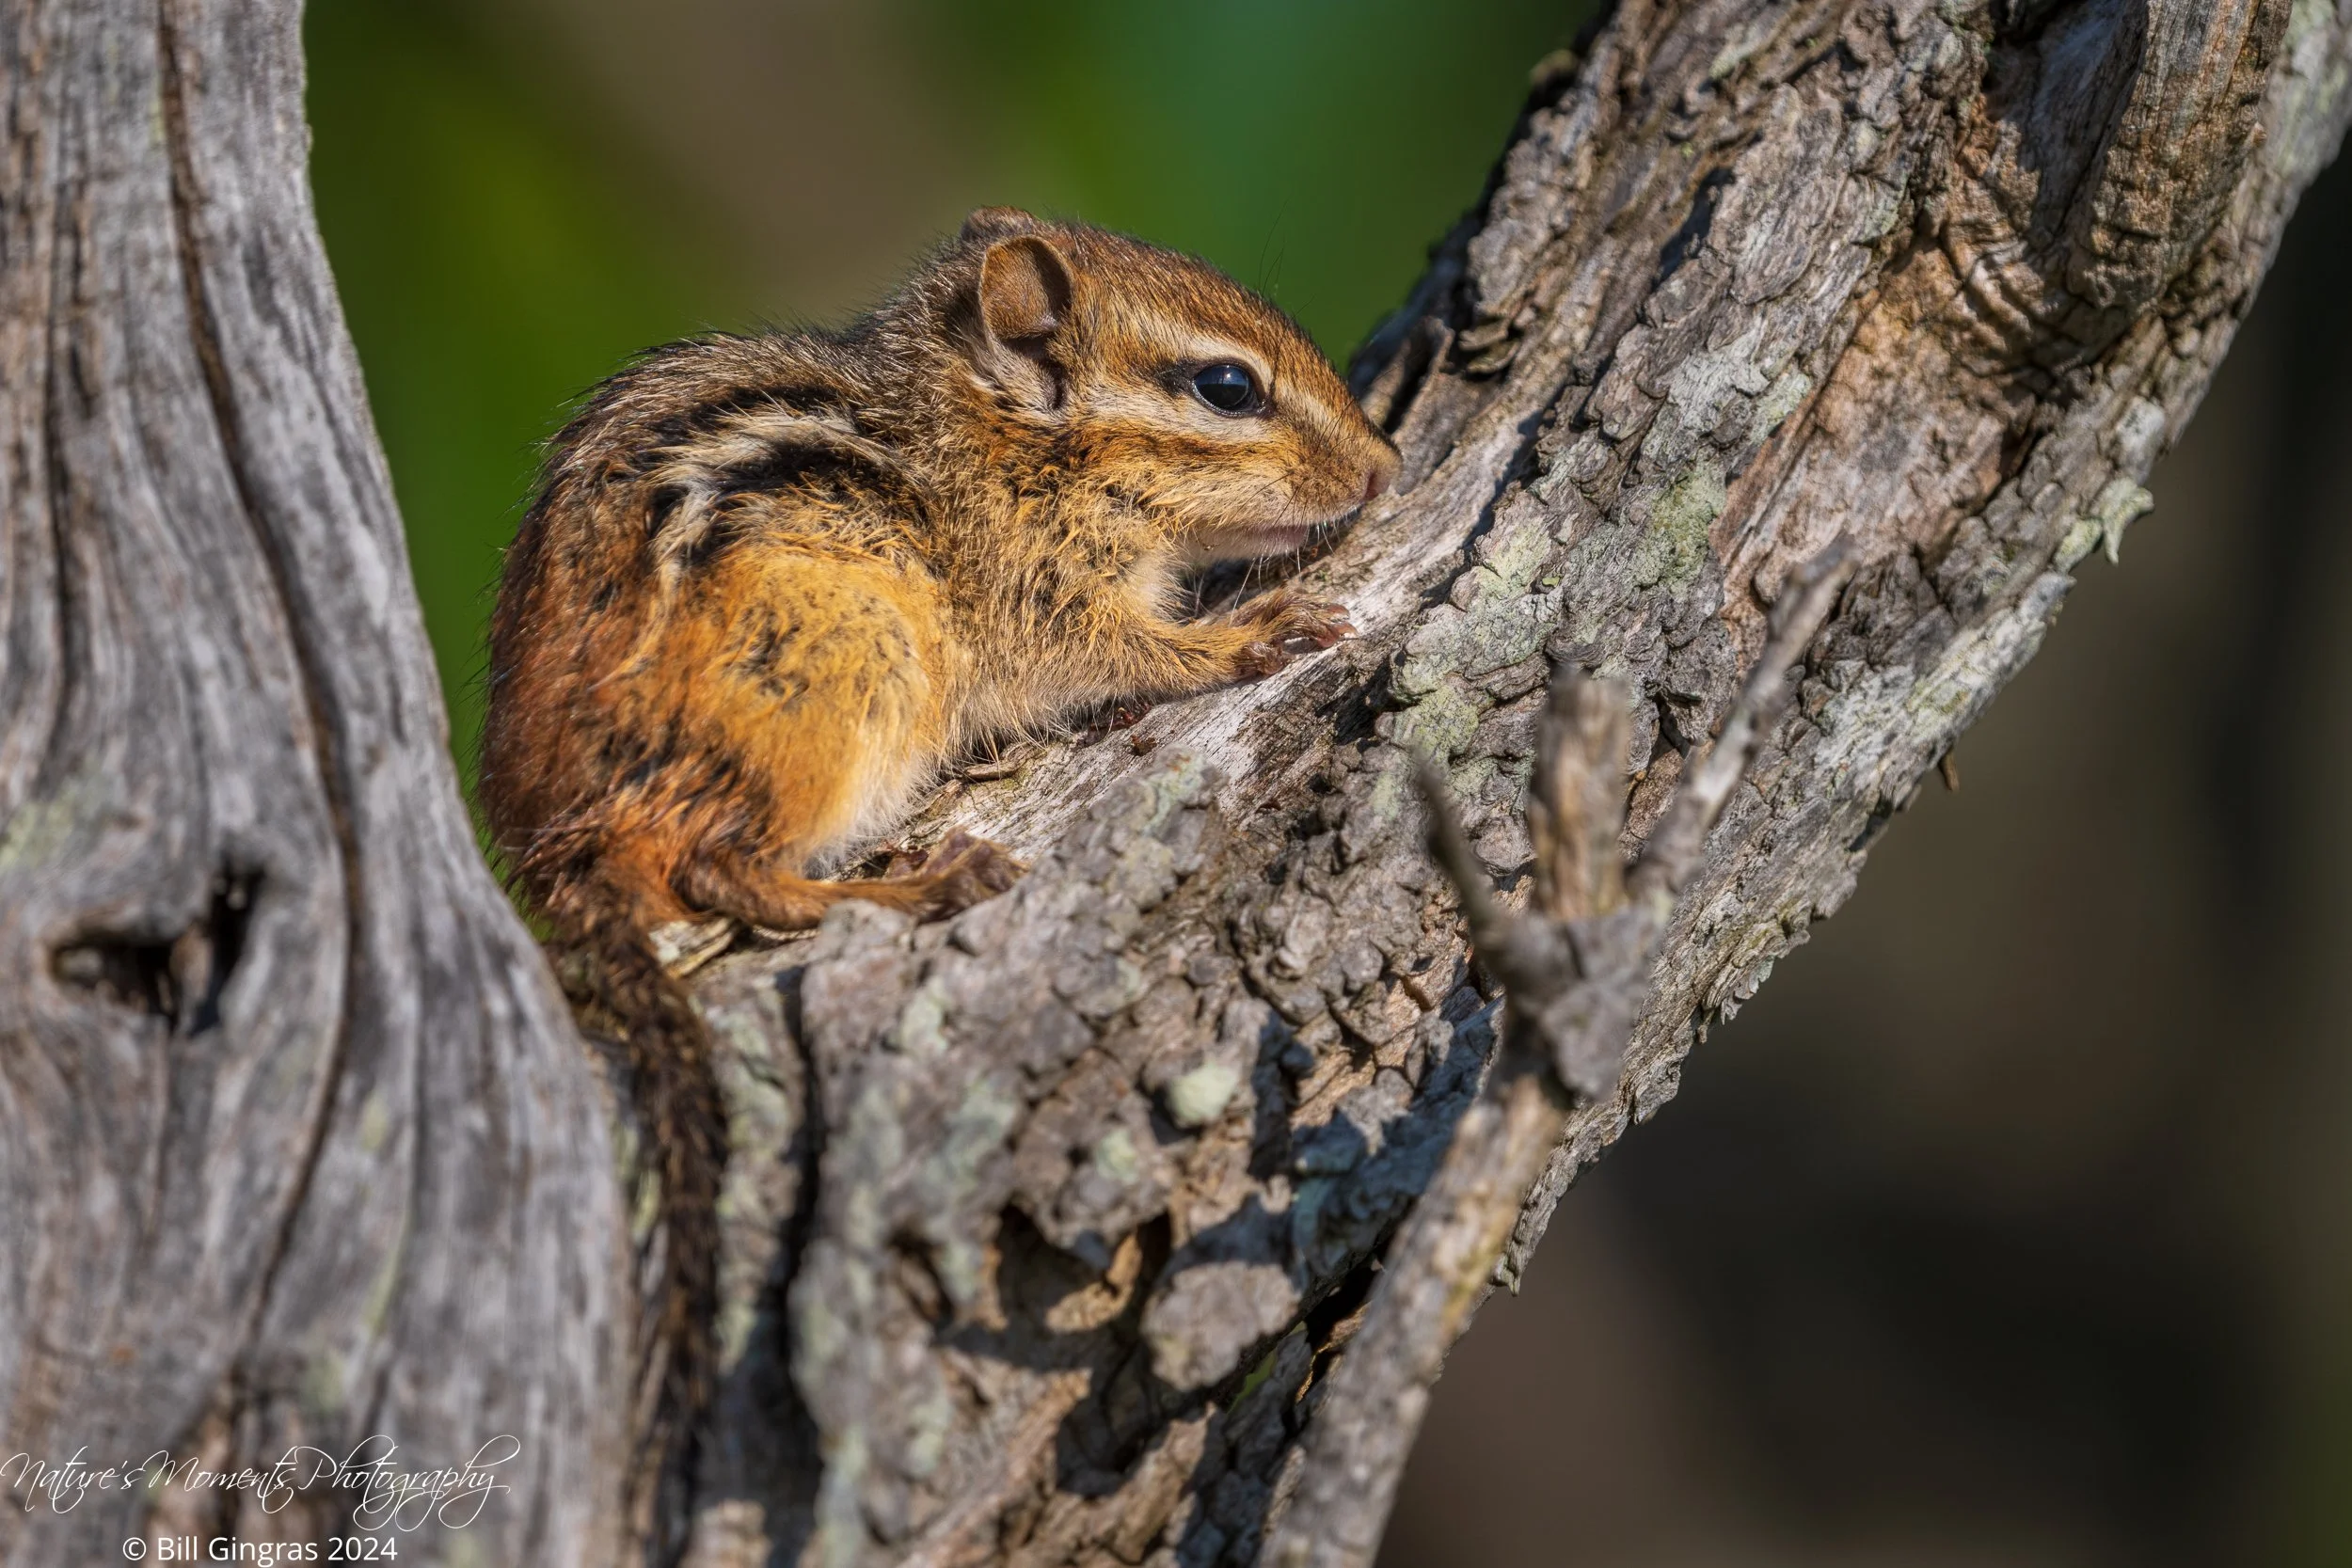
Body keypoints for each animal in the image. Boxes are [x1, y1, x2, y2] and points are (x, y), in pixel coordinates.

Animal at [477, 206, 1399, 1504]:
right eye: (1226, 386)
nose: (1385, 467)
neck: (1001, 434)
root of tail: (555, 846)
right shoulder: (1046, 594)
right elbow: (1134, 650)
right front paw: (1249, 632)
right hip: (851, 662)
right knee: (724, 871)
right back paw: (919, 879)